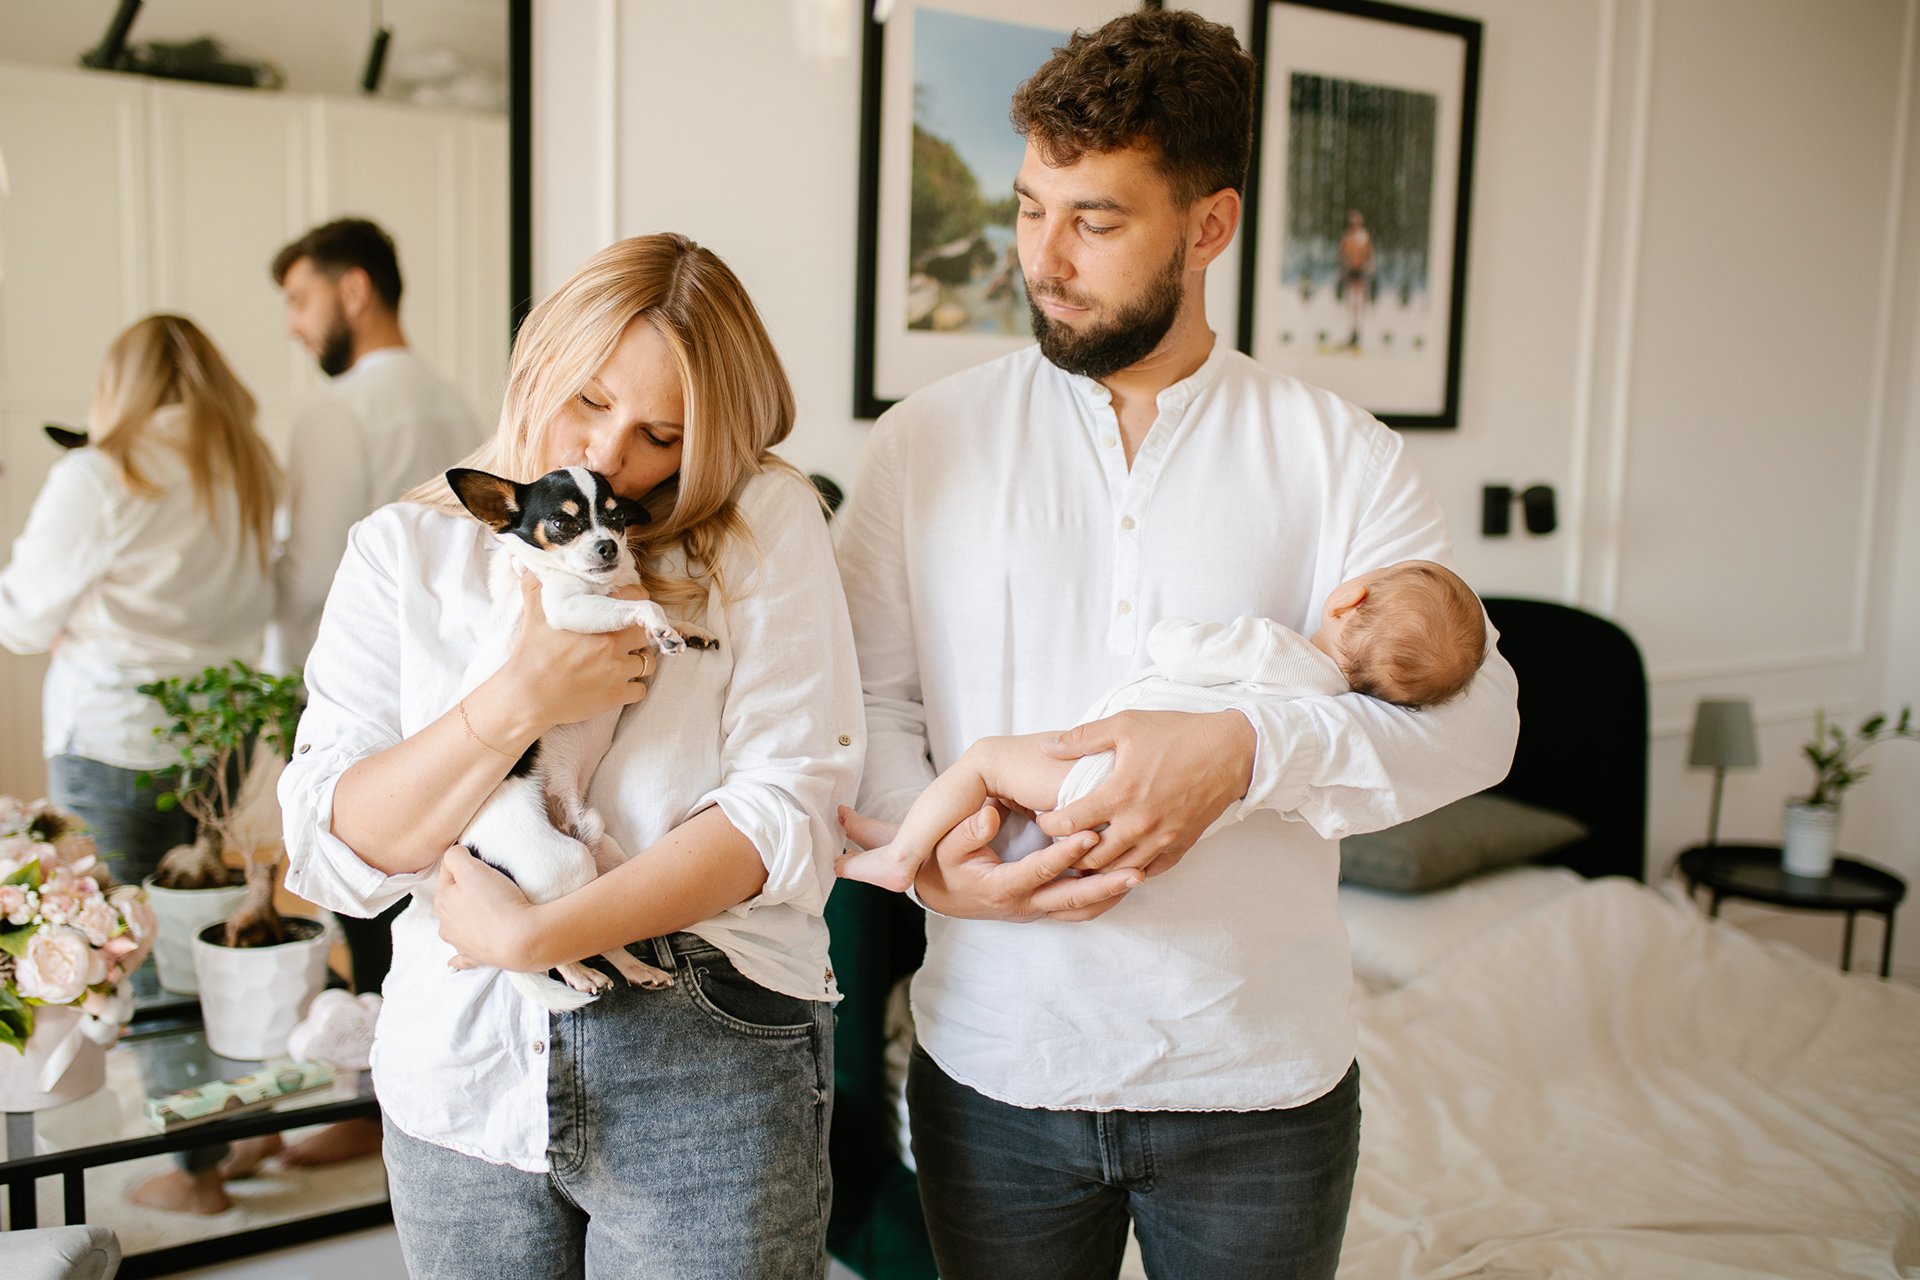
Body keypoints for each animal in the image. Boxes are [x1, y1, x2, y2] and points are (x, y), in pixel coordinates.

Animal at [443, 465, 717, 1011]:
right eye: (561, 524)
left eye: (616, 518)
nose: (608, 546)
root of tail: (476, 849)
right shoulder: (568, 611)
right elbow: (645, 604)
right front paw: (661, 626)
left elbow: (652, 603)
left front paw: (686, 628)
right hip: (561, 864)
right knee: (544, 940)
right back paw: (581, 977)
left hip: (605, 858)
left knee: (591, 928)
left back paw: (636, 970)